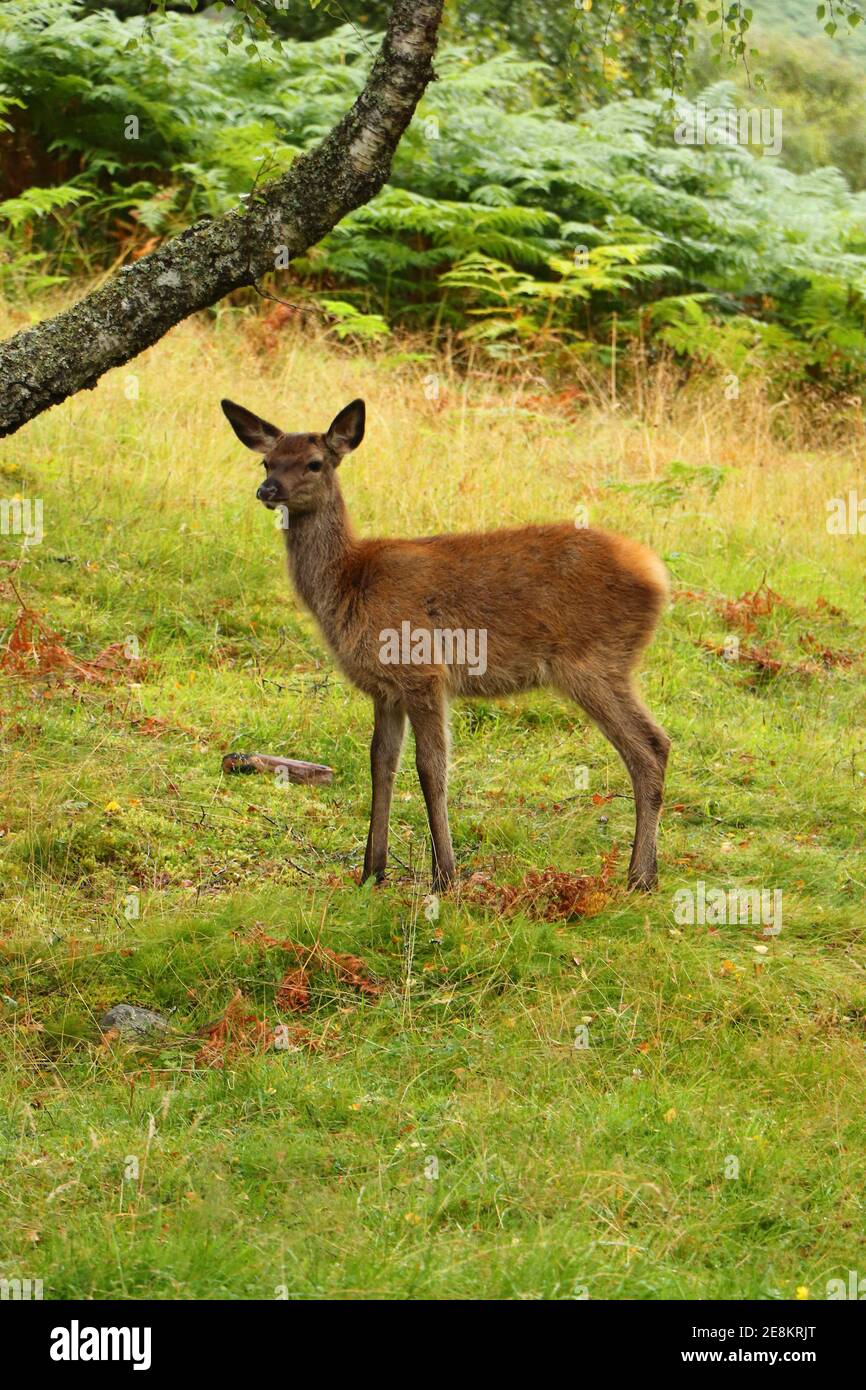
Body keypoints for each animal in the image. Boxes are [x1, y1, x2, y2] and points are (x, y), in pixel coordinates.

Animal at [221, 396, 671, 894]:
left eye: (314, 463)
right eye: (267, 460)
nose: (267, 489)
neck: (348, 582)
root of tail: (658, 576)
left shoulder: (424, 673)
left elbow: (431, 768)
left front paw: (445, 876)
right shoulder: (385, 689)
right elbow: (381, 763)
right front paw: (371, 871)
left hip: (594, 661)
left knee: (650, 746)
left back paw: (640, 875)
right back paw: (644, 872)